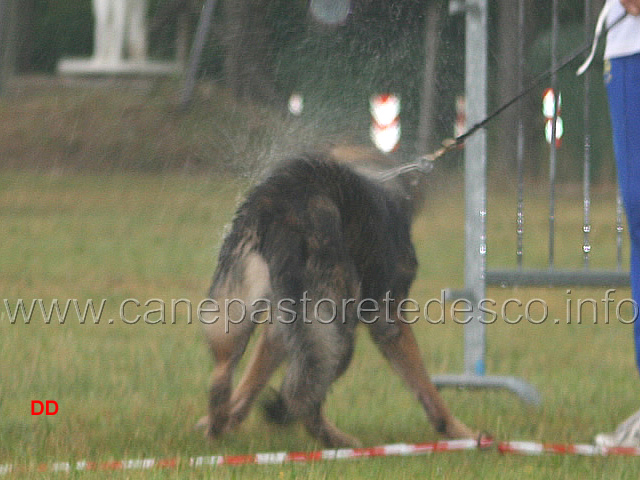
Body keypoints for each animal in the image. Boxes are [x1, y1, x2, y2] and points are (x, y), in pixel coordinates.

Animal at [198, 145, 478, 446]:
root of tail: (286, 201)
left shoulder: (282, 328)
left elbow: (254, 376)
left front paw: (229, 418)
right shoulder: (389, 321)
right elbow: (425, 385)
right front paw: (461, 433)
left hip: (241, 311)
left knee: (223, 375)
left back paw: (216, 427)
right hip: (337, 329)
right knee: (304, 397)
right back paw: (336, 441)